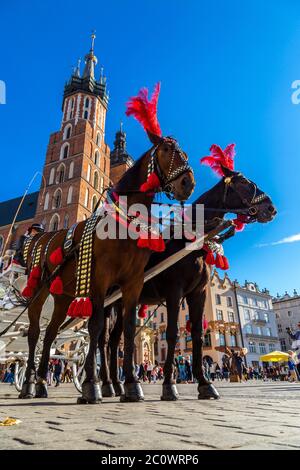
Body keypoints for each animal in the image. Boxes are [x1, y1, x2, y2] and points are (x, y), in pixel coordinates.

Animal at [18, 129, 195, 404]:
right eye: (166, 150)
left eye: (184, 153)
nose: (188, 183)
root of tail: (39, 237)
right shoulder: (100, 281)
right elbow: (96, 327)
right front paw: (92, 385)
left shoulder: (132, 284)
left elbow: (128, 330)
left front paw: (131, 385)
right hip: (39, 291)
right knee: (35, 333)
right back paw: (27, 383)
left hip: (62, 297)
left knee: (50, 334)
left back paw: (40, 385)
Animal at [98, 148, 276, 400]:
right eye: (243, 182)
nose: (271, 208)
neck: (190, 239)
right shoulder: (175, 292)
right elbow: (172, 333)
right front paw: (169, 385)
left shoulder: (198, 293)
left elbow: (199, 337)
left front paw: (204, 383)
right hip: (108, 303)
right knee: (102, 341)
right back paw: (105, 383)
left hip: (123, 302)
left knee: (114, 342)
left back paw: (116, 384)